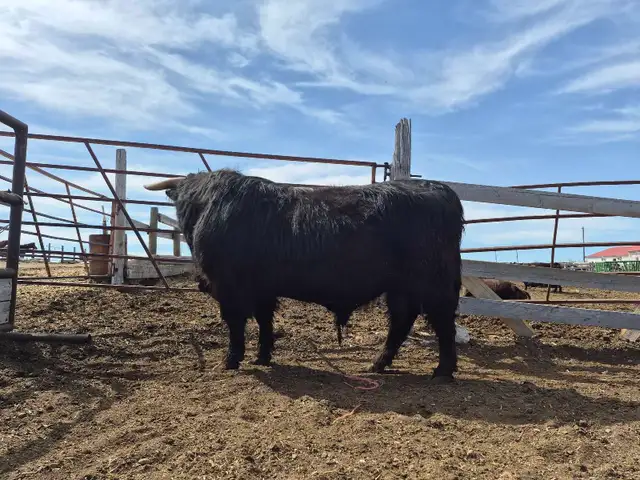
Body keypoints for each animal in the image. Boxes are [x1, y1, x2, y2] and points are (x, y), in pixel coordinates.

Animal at [144, 169, 465, 382]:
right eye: (182, 204)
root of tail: (440, 189)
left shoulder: (231, 288)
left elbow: (236, 325)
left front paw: (231, 359)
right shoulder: (262, 289)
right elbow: (264, 321)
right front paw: (263, 356)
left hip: (432, 284)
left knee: (442, 322)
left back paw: (442, 370)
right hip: (401, 288)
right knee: (402, 321)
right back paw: (378, 364)